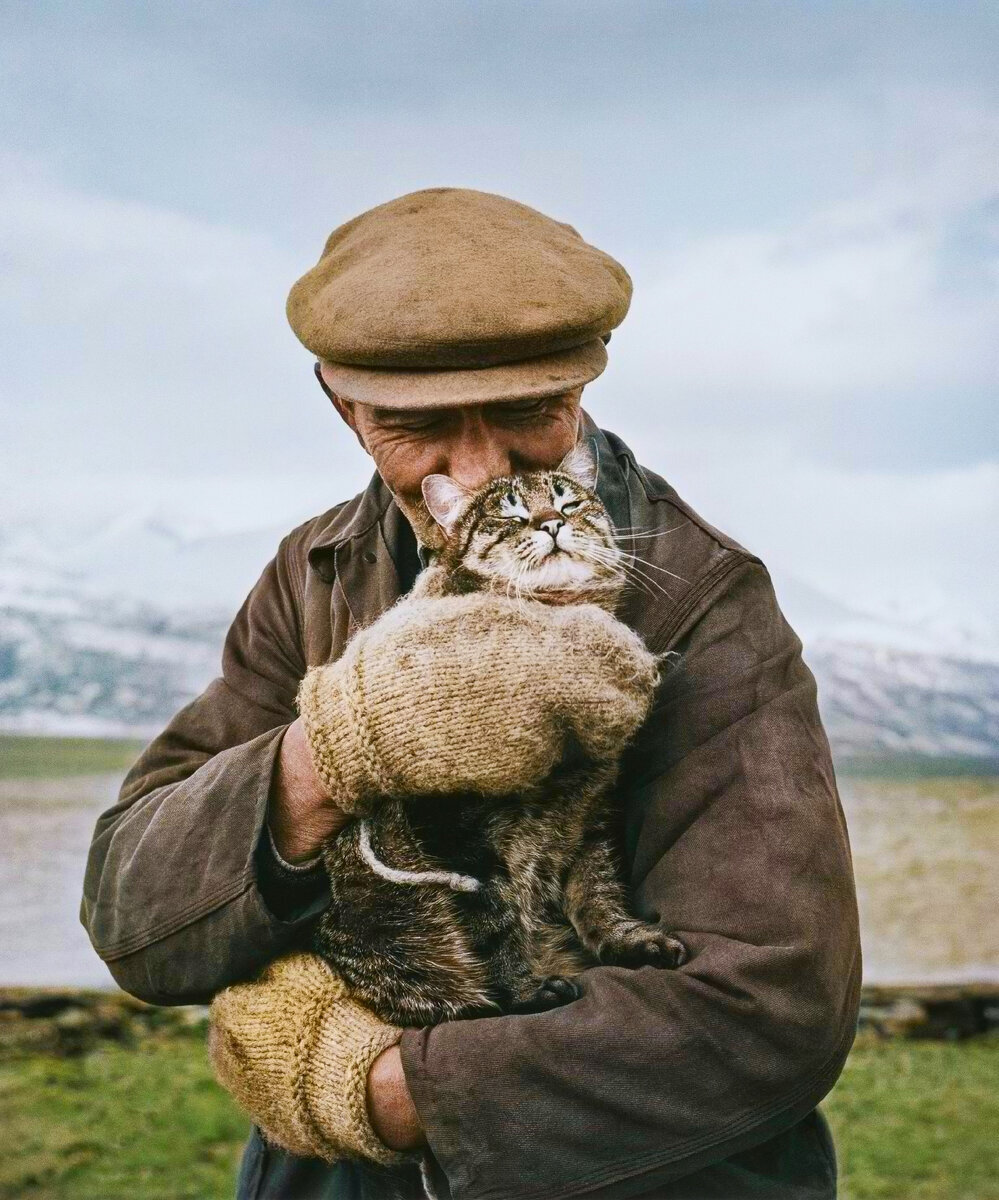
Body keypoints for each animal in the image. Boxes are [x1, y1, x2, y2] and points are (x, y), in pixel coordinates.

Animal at [314, 446, 686, 1027]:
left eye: (568, 501)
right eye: (510, 514)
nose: (550, 522)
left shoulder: (591, 812)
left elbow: (600, 893)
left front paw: (629, 940)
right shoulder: (453, 835)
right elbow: (495, 925)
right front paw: (524, 990)